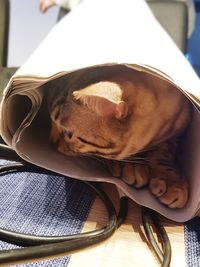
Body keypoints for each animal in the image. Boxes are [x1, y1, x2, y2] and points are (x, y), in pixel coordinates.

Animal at [47, 68, 191, 209]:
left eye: (67, 132)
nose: (51, 142)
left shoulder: (179, 129)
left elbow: (164, 152)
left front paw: (171, 182)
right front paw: (132, 167)